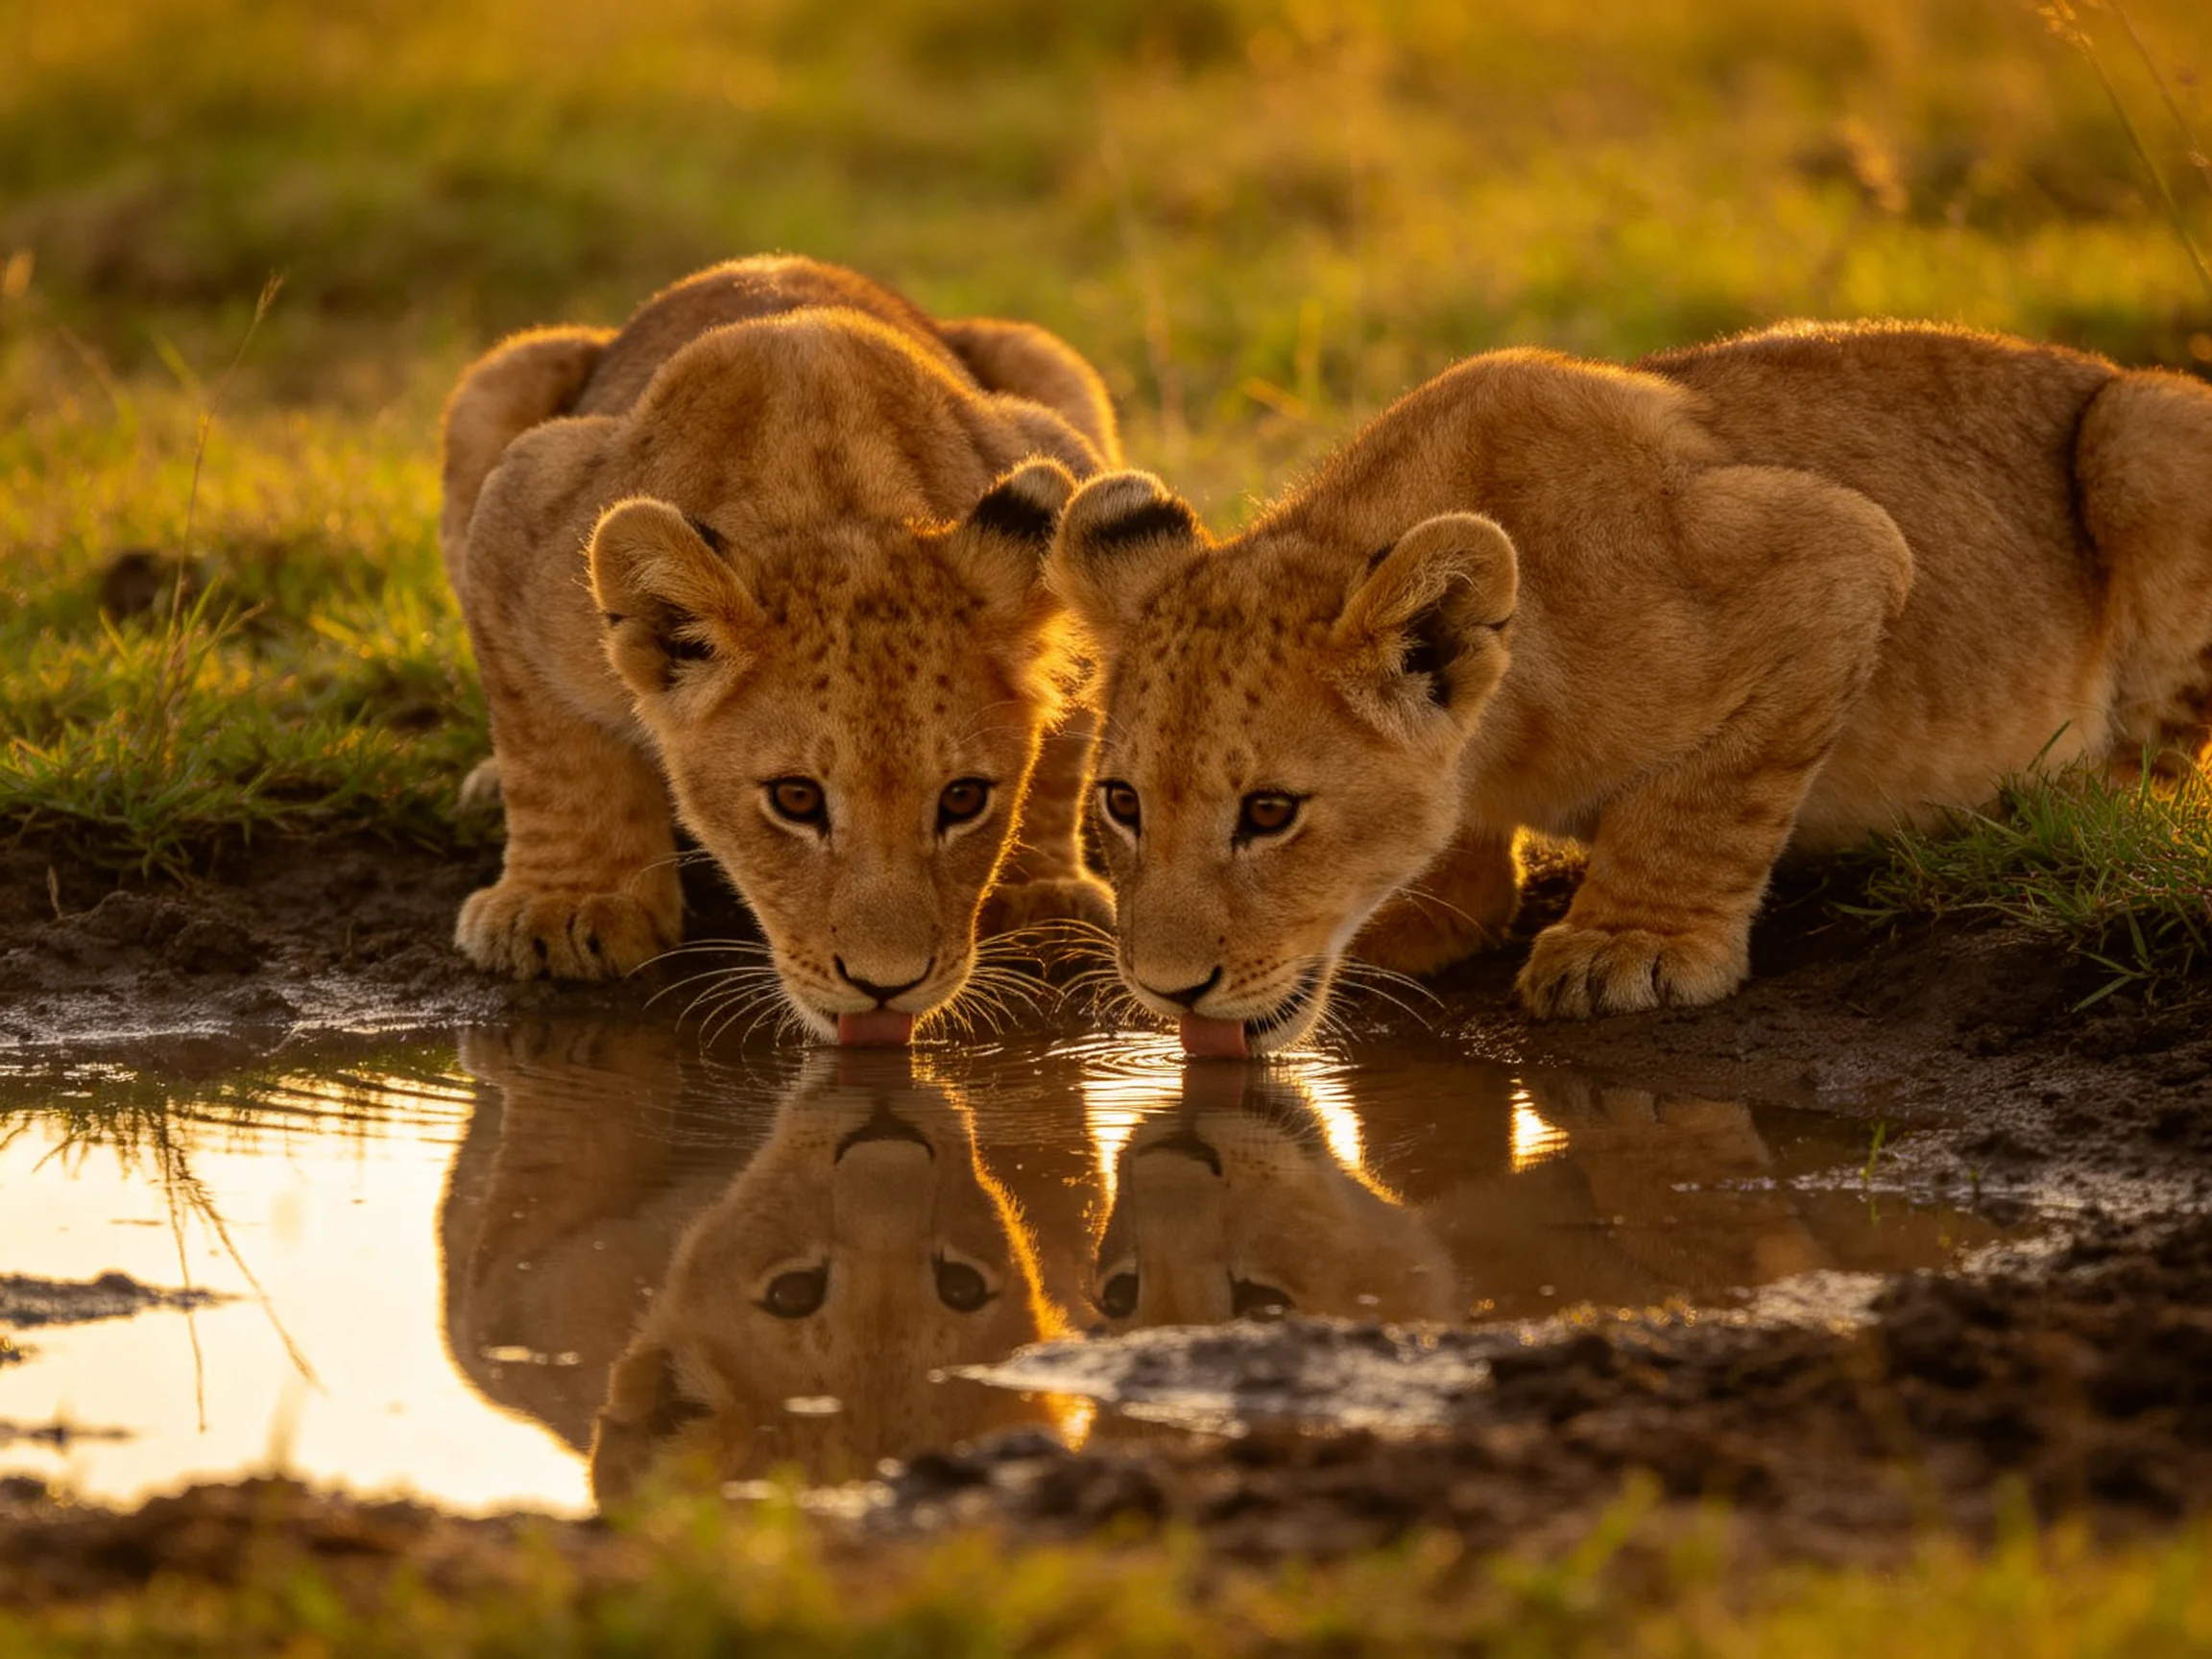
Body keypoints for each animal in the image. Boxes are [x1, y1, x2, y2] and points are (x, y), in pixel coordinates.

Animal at [439, 255, 1120, 1043]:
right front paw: (564, 910)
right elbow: (553, 754)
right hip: (500, 376)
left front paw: (1045, 896)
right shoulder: (525, 504)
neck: (828, 496)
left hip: (1046, 357)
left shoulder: (1060, 454)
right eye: (796, 799)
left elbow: (1065, 749)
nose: (886, 986)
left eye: (964, 798)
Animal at [1045, 322, 2212, 1047]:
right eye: (1122, 804)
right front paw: (1427, 914)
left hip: (2146, 431)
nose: (1165, 989)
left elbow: (1706, 800)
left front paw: (1632, 947)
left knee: (2154, 772)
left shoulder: (1838, 550)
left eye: (1269, 814)